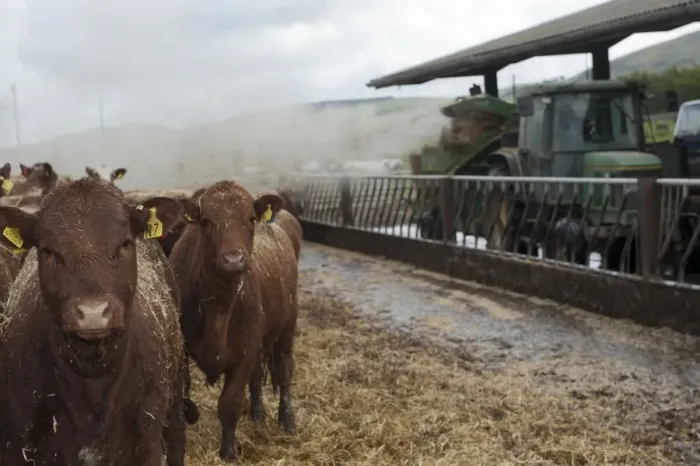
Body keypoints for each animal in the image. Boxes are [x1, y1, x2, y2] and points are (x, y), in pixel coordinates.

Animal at [170, 180, 298, 462]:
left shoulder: (245, 352)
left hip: (287, 329)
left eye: (250, 218)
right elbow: (184, 393)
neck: (218, 307)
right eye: (206, 221)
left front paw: (228, 450)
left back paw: (287, 420)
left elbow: (229, 403)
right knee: (258, 375)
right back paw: (258, 412)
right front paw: (191, 413)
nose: (234, 259)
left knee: (284, 372)